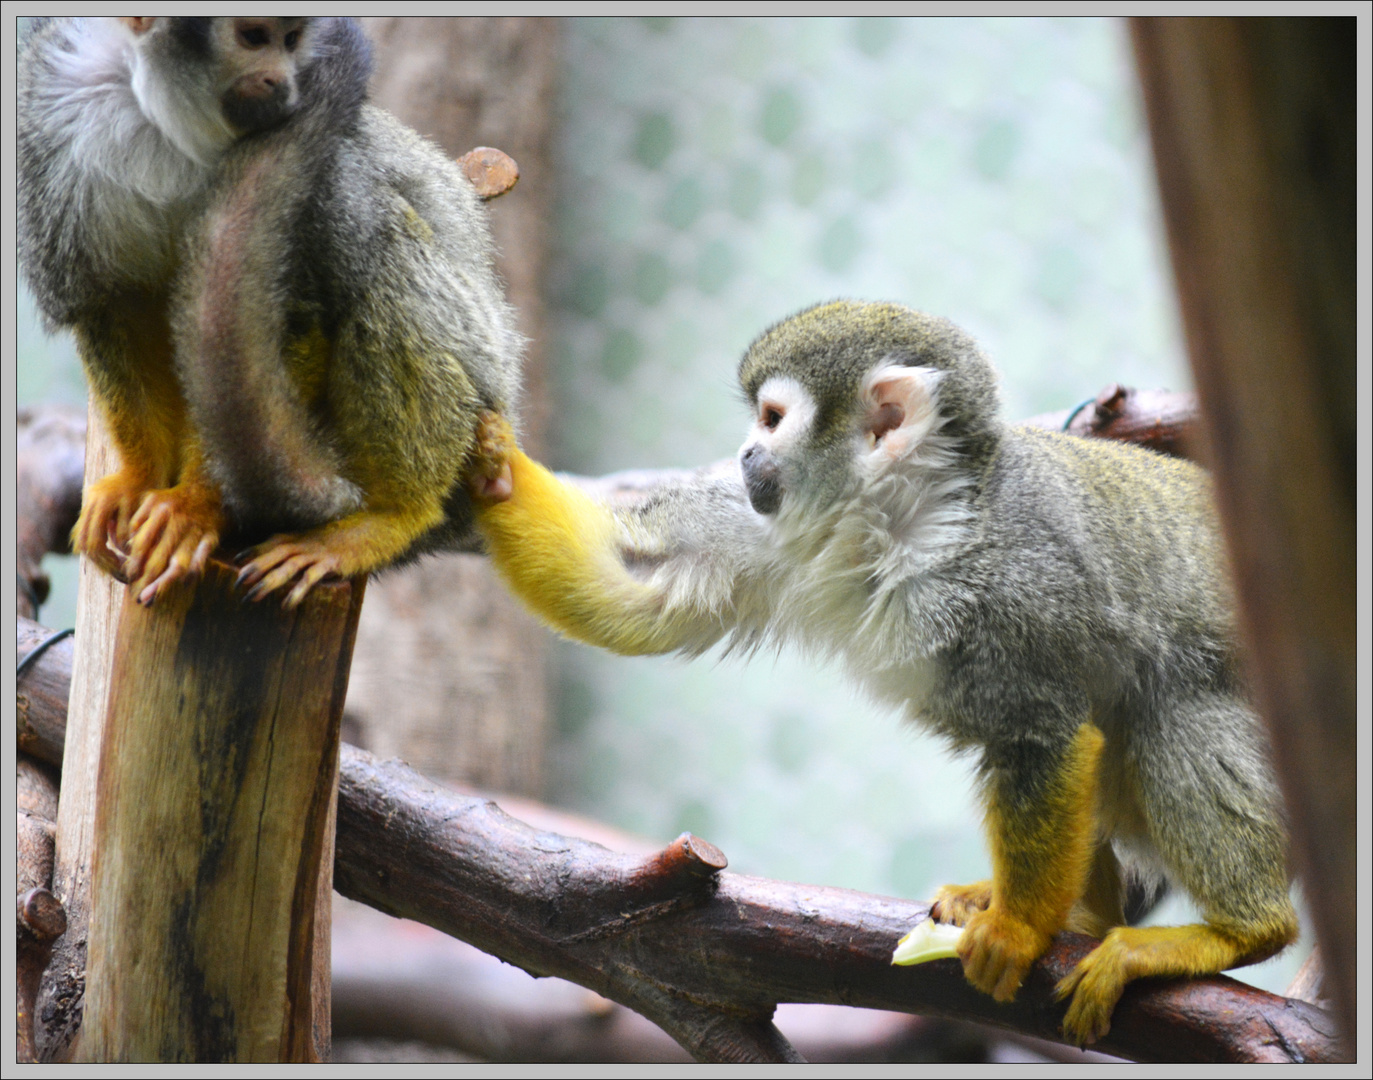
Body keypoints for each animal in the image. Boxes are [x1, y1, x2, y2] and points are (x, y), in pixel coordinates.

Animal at [16, 14, 518, 609]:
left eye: (292, 40)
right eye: (254, 37)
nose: (282, 81)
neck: (169, 125)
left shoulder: (322, 170)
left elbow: (289, 324)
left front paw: (196, 505)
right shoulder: (50, 119)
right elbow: (110, 302)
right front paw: (137, 479)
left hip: (477, 364)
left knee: (378, 256)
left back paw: (394, 516)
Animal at [472, 300, 1296, 1042]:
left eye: (771, 418)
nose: (743, 456)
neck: (901, 524)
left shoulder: (1016, 589)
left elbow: (1044, 735)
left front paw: (1021, 930)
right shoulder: (773, 525)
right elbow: (638, 590)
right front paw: (492, 459)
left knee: (1174, 709)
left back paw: (1240, 931)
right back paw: (1091, 915)